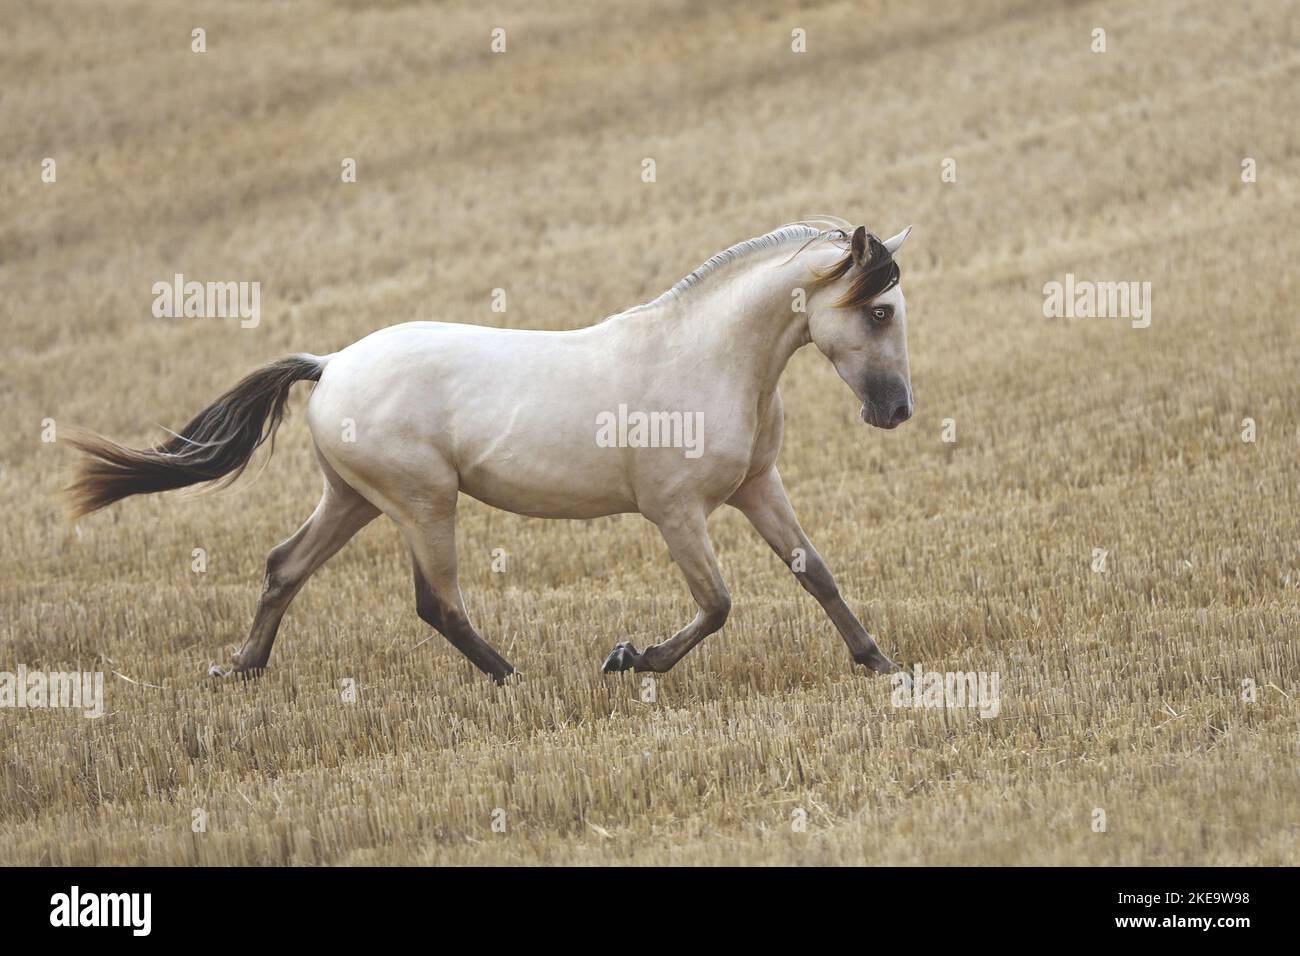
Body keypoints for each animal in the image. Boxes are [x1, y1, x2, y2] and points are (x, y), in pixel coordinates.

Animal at [66, 218, 915, 684]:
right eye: (877, 310)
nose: (898, 411)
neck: (705, 356)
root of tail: (331, 364)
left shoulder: (758, 485)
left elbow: (816, 573)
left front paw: (880, 662)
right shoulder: (676, 512)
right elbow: (717, 604)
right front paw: (627, 657)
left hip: (354, 499)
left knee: (284, 566)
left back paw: (239, 669)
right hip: (422, 501)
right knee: (437, 602)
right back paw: (519, 678)